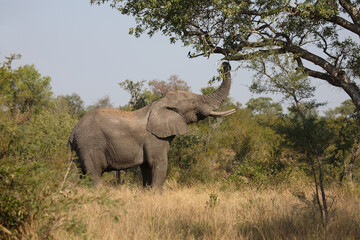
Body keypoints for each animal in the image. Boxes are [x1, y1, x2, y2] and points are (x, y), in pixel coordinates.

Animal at [68, 61, 235, 188]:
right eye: (193, 102)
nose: (225, 63)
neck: (161, 103)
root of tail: (72, 133)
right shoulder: (154, 139)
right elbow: (159, 164)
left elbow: (147, 168)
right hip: (90, 145)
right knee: (93, 174)